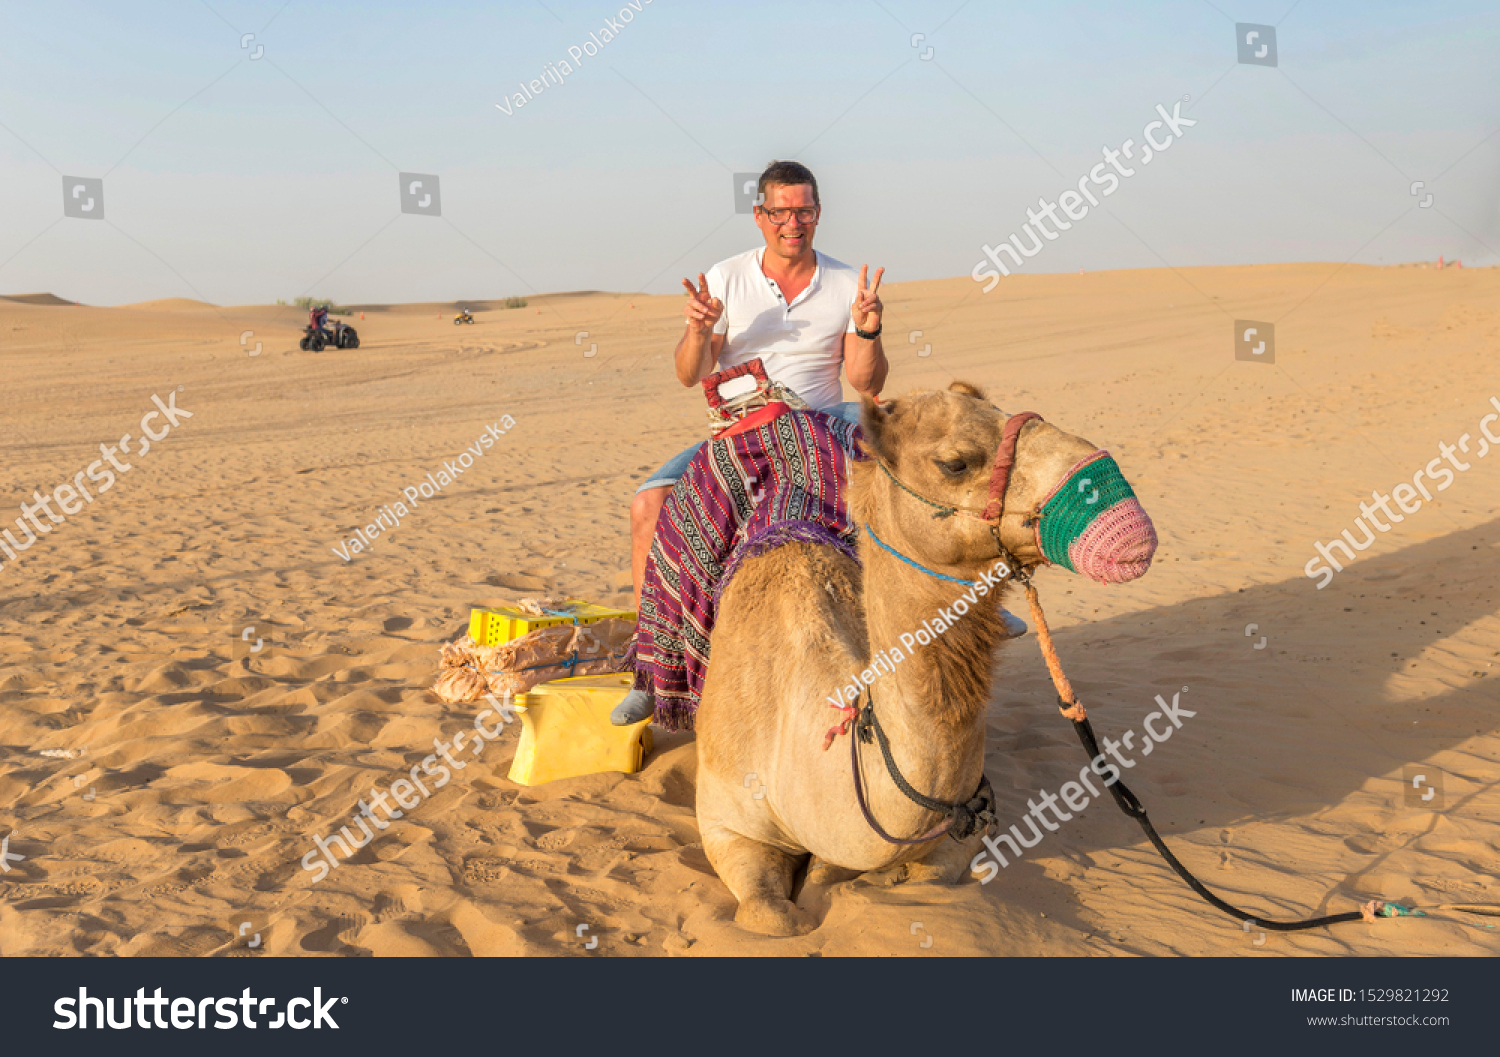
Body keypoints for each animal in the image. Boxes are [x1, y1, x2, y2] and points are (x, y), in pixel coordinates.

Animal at [693, 379, 1158, 929]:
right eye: (954, 463)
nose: (1122, 509)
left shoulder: (970, 817)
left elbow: (918, 876)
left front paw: (862, 878)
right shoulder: (725, 821)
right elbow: (776, 916)